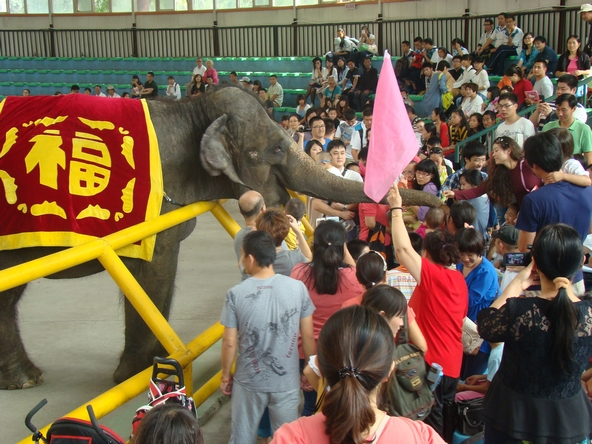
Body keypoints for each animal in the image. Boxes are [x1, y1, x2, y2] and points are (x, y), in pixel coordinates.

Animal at [0, 86, 440, 388]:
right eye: (277, 149)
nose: (439, 204)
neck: (193, 108)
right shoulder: (159, 203)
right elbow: (154, 272)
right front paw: (139, 377)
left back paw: (24, 377)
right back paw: (27, 379)